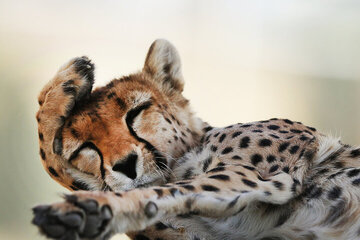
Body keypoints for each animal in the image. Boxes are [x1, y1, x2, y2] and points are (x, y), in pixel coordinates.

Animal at [32, 38, 360, 239]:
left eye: (137, 111)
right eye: (84, 148)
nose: (126, 165)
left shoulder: (256, 176)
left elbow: (164, 190)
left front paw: (80, 206)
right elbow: (55, 161)